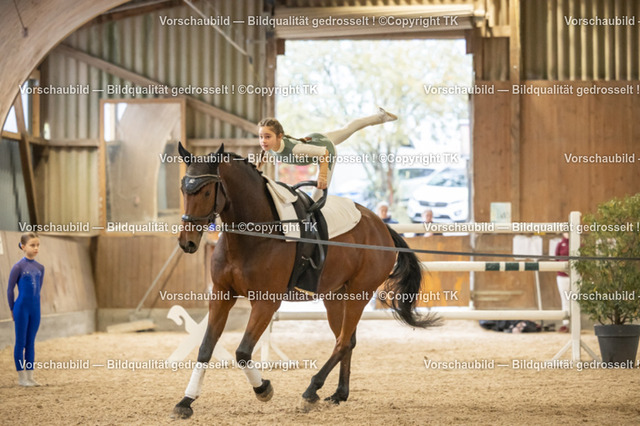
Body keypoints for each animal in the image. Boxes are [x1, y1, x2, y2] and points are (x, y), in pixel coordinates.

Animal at [173, 143, 439, 418]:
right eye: (183, 189)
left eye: (205, 192)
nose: (187, 242)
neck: (254, 232)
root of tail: (381, 227)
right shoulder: (221, 295)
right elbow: (205, 348)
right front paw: (186, 401)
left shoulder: (266, 302)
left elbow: (243, 352)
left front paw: (263, 389)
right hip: (335, 297)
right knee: (348, 341)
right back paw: (339, 393)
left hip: (359, 294)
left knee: (343, 342)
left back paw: (311, 392)